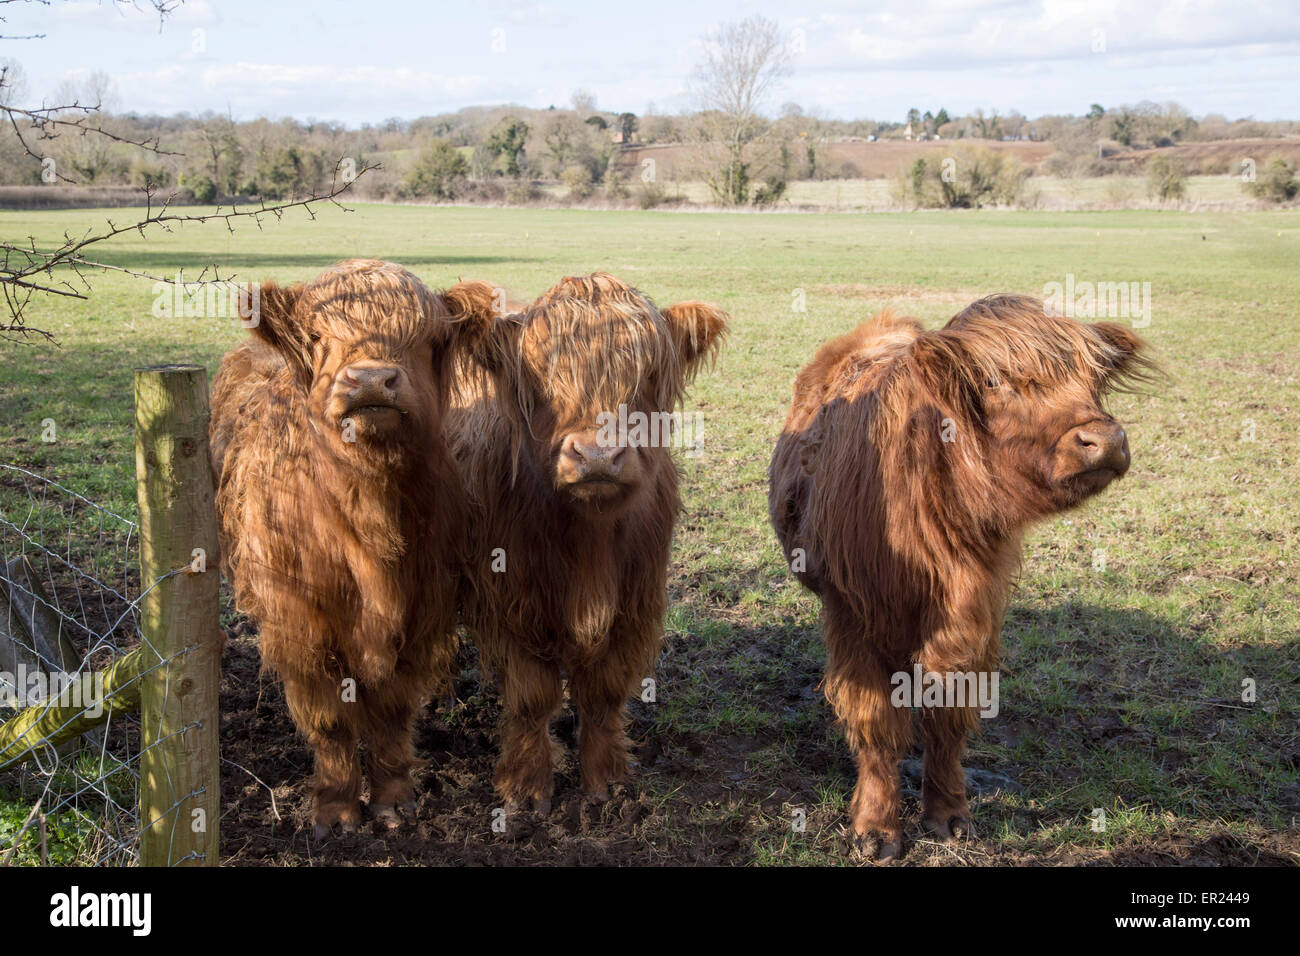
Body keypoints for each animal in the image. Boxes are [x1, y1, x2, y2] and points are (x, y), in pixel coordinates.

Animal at [210, 260, 499, 837]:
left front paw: (392, 803)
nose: (369, 379)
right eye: (318, 338)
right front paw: (336, 810)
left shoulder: (420, 613)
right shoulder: (300, 622)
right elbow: (328, 720)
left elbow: (391, 712)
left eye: (428, 338)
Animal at [452, 273, 728, 811]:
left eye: (646, 376)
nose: (598, 454)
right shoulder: (512, 603)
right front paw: (527, 787)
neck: (589, 543)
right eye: (538, 377)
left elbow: (603, 692)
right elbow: (532, 695)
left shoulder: (634, 605)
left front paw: (607, 780)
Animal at [764, 295, 1154, 863]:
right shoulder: (850, 612)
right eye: (993, 381)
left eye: (1095, 378)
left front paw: (948, 815)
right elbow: (875, 722)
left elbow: (947, 715)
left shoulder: (973, 613)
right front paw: (876, 828)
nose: (1104, 441)